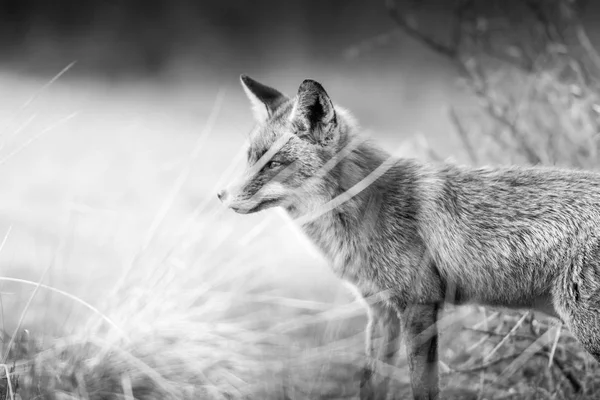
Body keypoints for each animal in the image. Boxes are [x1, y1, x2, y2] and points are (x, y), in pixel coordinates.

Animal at [218, 76, 600, 400]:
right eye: (251, 158)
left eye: (273, 163)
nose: (221, 195)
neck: (365, 210)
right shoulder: (380, 310)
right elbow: (371, 385)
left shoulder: (419, 304)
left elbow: (422, 388)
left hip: (587, 328)